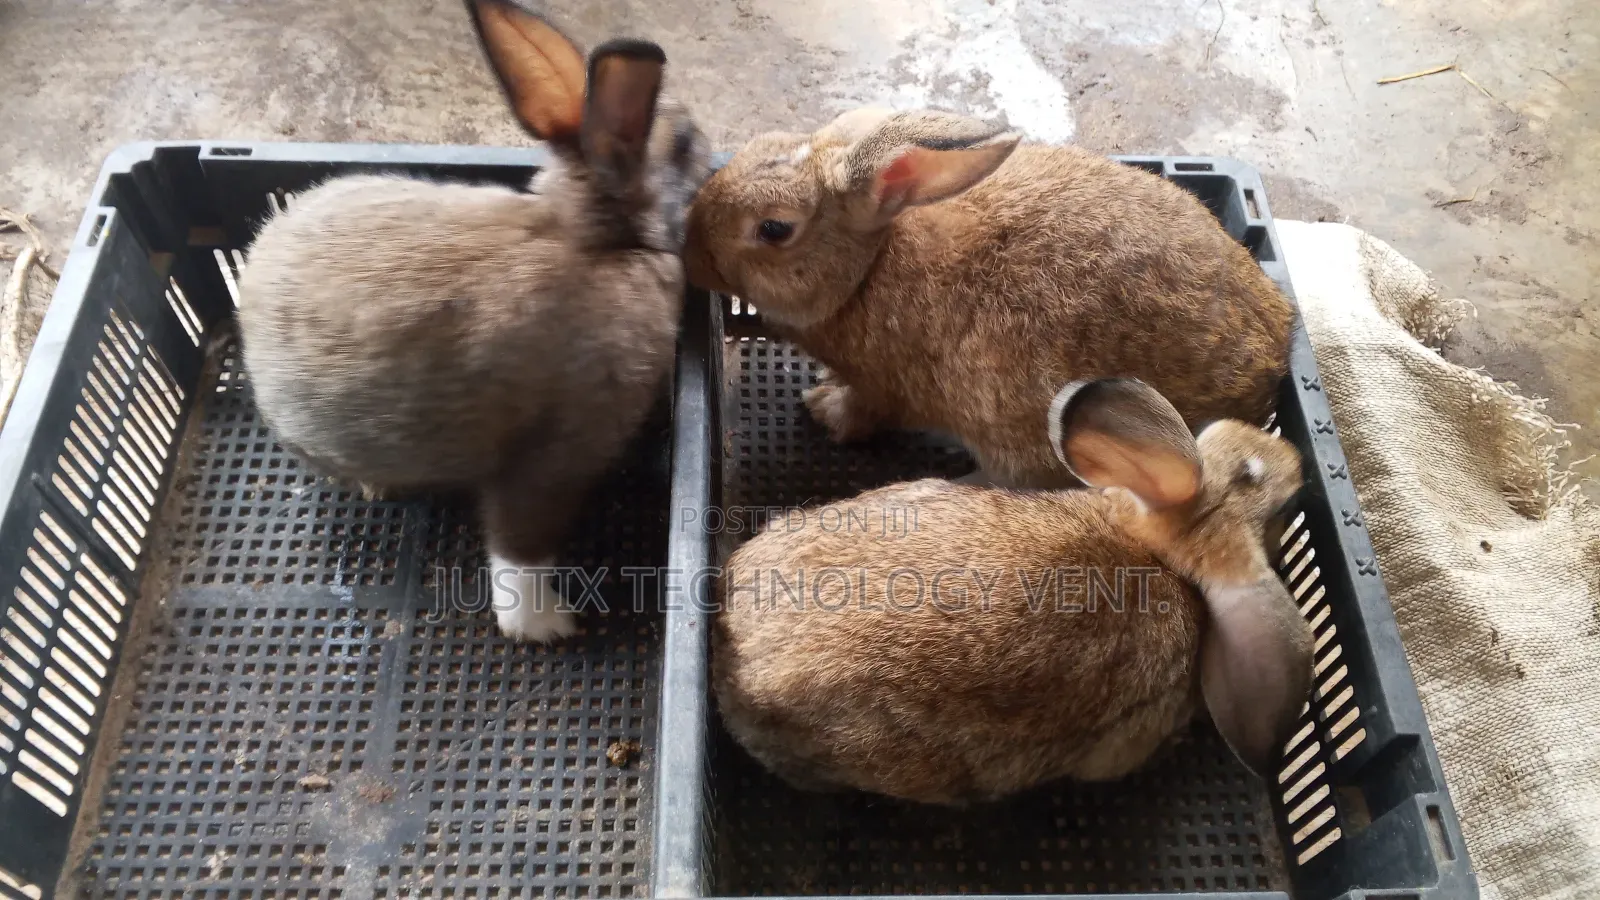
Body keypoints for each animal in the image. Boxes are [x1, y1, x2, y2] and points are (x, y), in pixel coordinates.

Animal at [236, 0, 711, 644]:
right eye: (682, 143)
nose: (709, 149)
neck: (601, 239)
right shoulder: (554, 457)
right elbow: (520, 548)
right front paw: (546, 625)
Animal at [684, 107, 1296, 490]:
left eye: (773, 229)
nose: (690, 248)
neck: (868, 268)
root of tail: (1267, 373)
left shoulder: (884, 388)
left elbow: (863, 411)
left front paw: (823, 408)